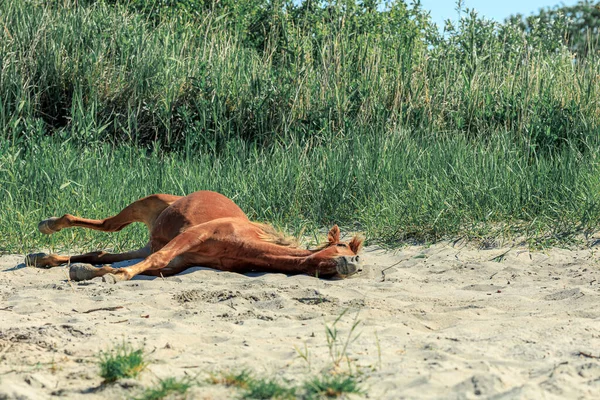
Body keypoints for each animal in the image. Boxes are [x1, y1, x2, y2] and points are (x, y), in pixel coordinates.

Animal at [25, 190, 364, 282]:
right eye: (345, 247)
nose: (355, 265)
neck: (242, 243)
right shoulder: (193, 236)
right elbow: (152, 260)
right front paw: (117, 276)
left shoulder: (179, 262)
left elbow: (150, 264)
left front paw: (90, 273)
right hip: (144, 204)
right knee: (109, 226)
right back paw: (48, 226)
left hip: (146, 240)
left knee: (102, 252)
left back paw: (42, 258)